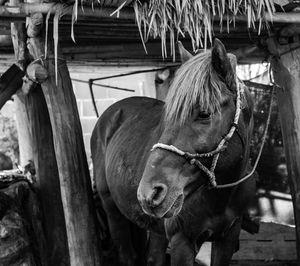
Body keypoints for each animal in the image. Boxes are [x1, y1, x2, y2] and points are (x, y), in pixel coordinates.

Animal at [91, 39, 255, 266]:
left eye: (204, 114)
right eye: (166, 115)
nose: (148, 193)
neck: (220, 197)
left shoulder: (228, 238)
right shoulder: (182, 242)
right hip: (112, 211)